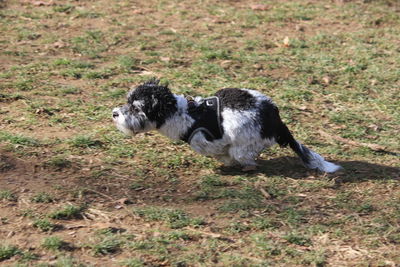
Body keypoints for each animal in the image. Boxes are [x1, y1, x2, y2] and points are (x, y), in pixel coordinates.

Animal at [111, 78, 340, 173]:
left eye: (136, 108)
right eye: (127, 101)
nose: (114, 113)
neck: (185, 114)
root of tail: (276, 120)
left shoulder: (208, 141)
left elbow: (222, 153)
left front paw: (227, 161)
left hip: (245, 143)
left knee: (243, 155)